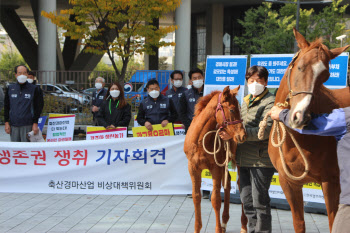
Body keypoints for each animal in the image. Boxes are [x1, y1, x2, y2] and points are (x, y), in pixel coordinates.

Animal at [183, 86, 246, 233]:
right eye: (232, 109)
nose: (242, 135)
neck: (200, 141)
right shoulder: (193, 167)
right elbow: (196, 196)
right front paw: (197, 228)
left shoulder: (215, 168)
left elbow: (216, 199)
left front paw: (217, 229)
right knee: (228, 182)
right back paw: (224, 222)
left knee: (241, 186)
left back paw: (243, 226)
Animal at [270, 27, 348, 233]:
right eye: (300, 67)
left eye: (325, 76)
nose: (301, 117)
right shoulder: (288, 183)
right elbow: (299, 223)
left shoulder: (331, 181)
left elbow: (333, 222)